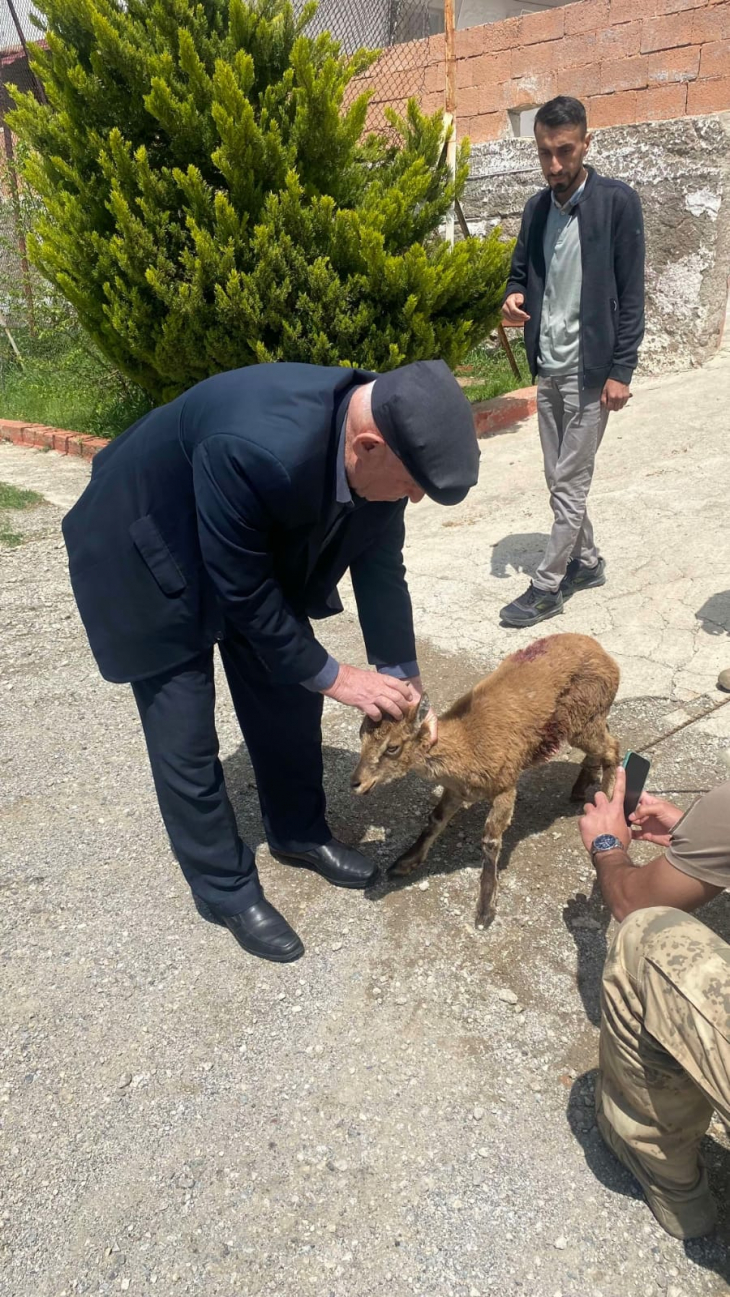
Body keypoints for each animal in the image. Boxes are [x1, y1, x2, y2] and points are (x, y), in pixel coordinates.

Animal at [350, 632, 619, 928]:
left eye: (393, 747)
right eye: (361, 736)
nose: (357, 783)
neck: (466, 747)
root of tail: (608, 659)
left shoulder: (506, 784)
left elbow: (491, 838)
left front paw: (484, 909)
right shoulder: (455, 790)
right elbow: (435, 818)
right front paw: (404, 863)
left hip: (584, 720)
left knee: (613, 748)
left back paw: (606, 800)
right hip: (589, 721)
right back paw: (581, 787)